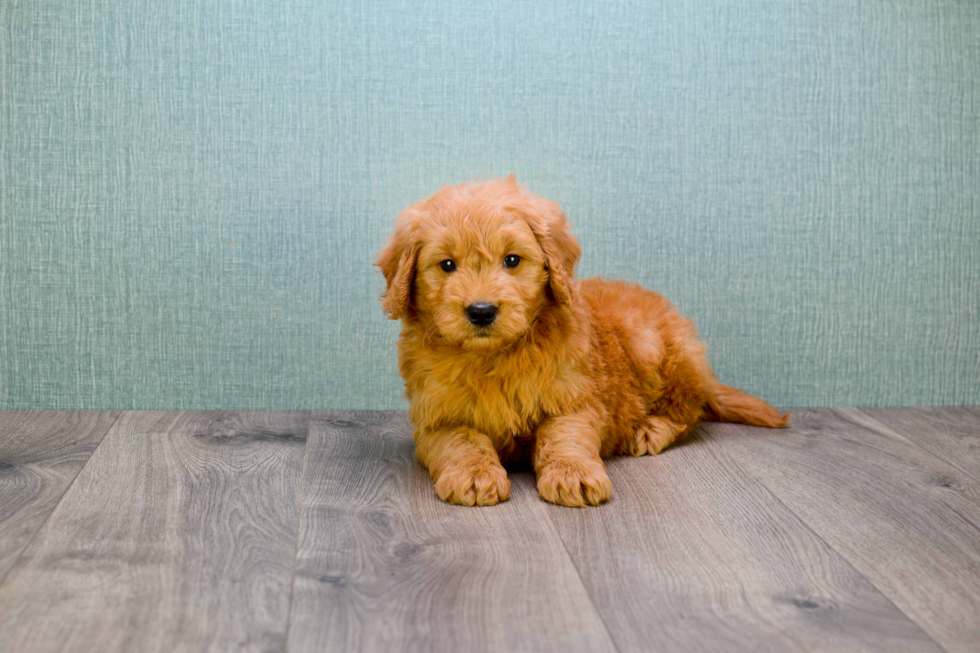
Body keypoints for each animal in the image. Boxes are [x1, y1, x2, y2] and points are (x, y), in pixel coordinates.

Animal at [376, 176, 788, 506]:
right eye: (447, 265)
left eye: (512, 260)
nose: (481, 311)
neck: (493, 356)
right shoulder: (435, 418)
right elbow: (462, 441)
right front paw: (474, 474)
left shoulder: (575, 399)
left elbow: (566, 437)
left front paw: (572, 473)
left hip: (655, 348)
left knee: (689, 411)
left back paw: (649, 429)